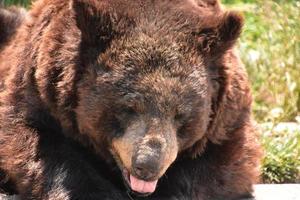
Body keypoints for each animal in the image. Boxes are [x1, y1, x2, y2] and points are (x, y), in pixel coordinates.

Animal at [0, 0, 260, 199]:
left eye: (181, 114)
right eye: (128, 107)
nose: (148, 166)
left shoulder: (226, 118)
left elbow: (222, 161)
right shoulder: (40, 93)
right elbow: (44, 150)